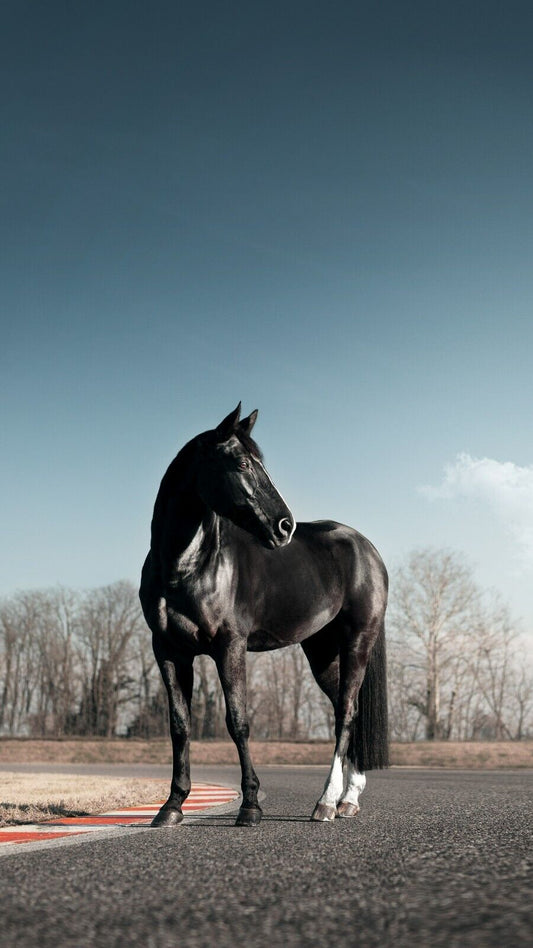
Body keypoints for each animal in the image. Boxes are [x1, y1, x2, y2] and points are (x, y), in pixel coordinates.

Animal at [139, 404, 388, 826]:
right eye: (241, 462)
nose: (285, 526)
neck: (186, 567)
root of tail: (367, 548)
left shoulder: (230, 647)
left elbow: (237, 722)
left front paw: (251, 805)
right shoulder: (169, 651)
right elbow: (179, 725)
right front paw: (171, 806)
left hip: (358, 640)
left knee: (346, 713)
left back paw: (326, 802)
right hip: (322, 652)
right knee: (347, 709)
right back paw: (348, 799)